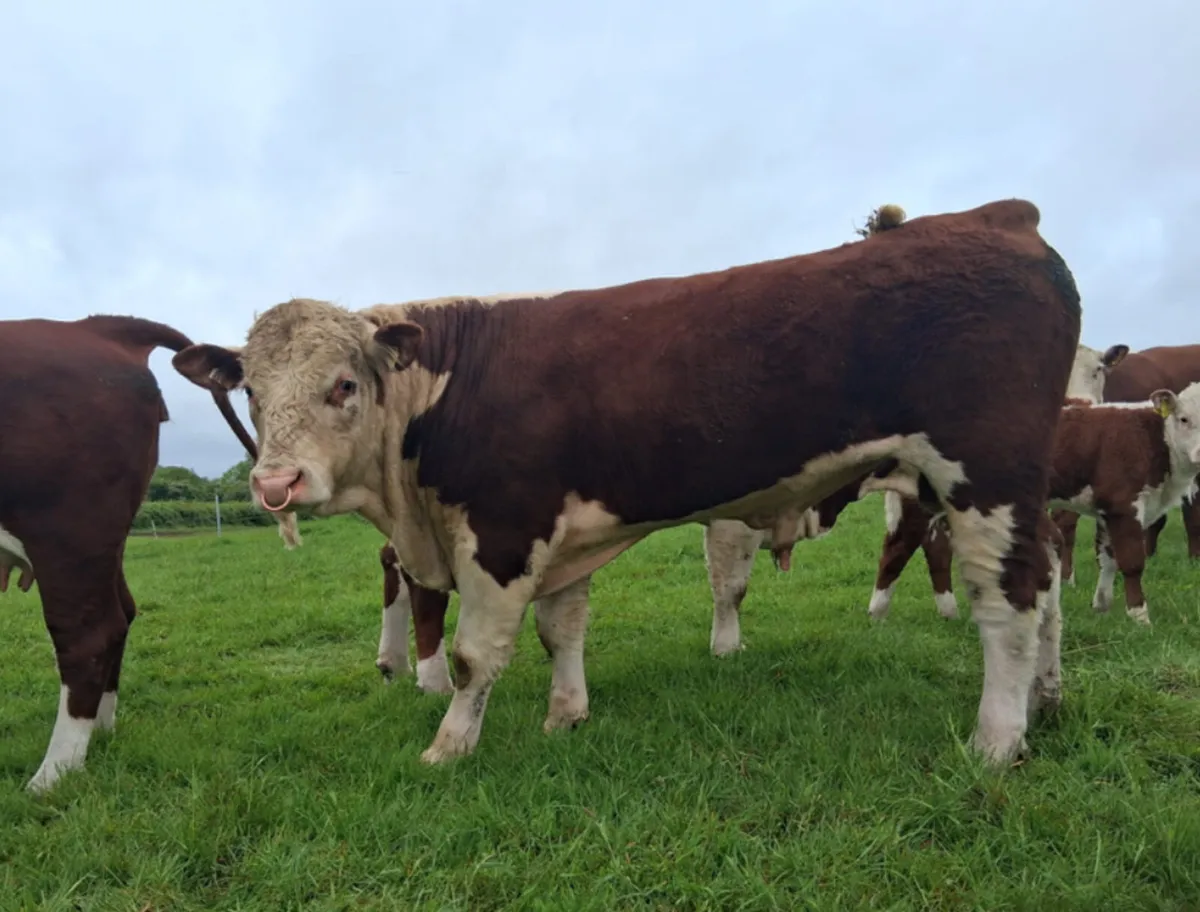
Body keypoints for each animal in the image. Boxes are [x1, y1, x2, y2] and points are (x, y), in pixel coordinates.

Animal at [0, 314, 261, 792]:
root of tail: (94, 327)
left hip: (68, 531)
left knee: (88, 633)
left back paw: (51, 775)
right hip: (104, 544)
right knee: (121, 613)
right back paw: (100, 731)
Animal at [174, 198, 1082, 768]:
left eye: (343, 385)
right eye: (253, 392)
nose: (276, 482)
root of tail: (998, 215)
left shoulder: (503, 530)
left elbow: (472, 656)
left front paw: (449, 747)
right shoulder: (561, 535)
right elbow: (561, 630)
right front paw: (565, 717)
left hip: (983, 472)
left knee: (1008, 598)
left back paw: (997, 741)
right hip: (1018, 486)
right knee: (1046, 587)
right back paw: (1048, 700)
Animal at [864, 341, 1129, 623]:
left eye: (1098, 370)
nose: (1081, 402)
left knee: (934, 543)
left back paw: (949, 612)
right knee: (902, 541)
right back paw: (878, 613)